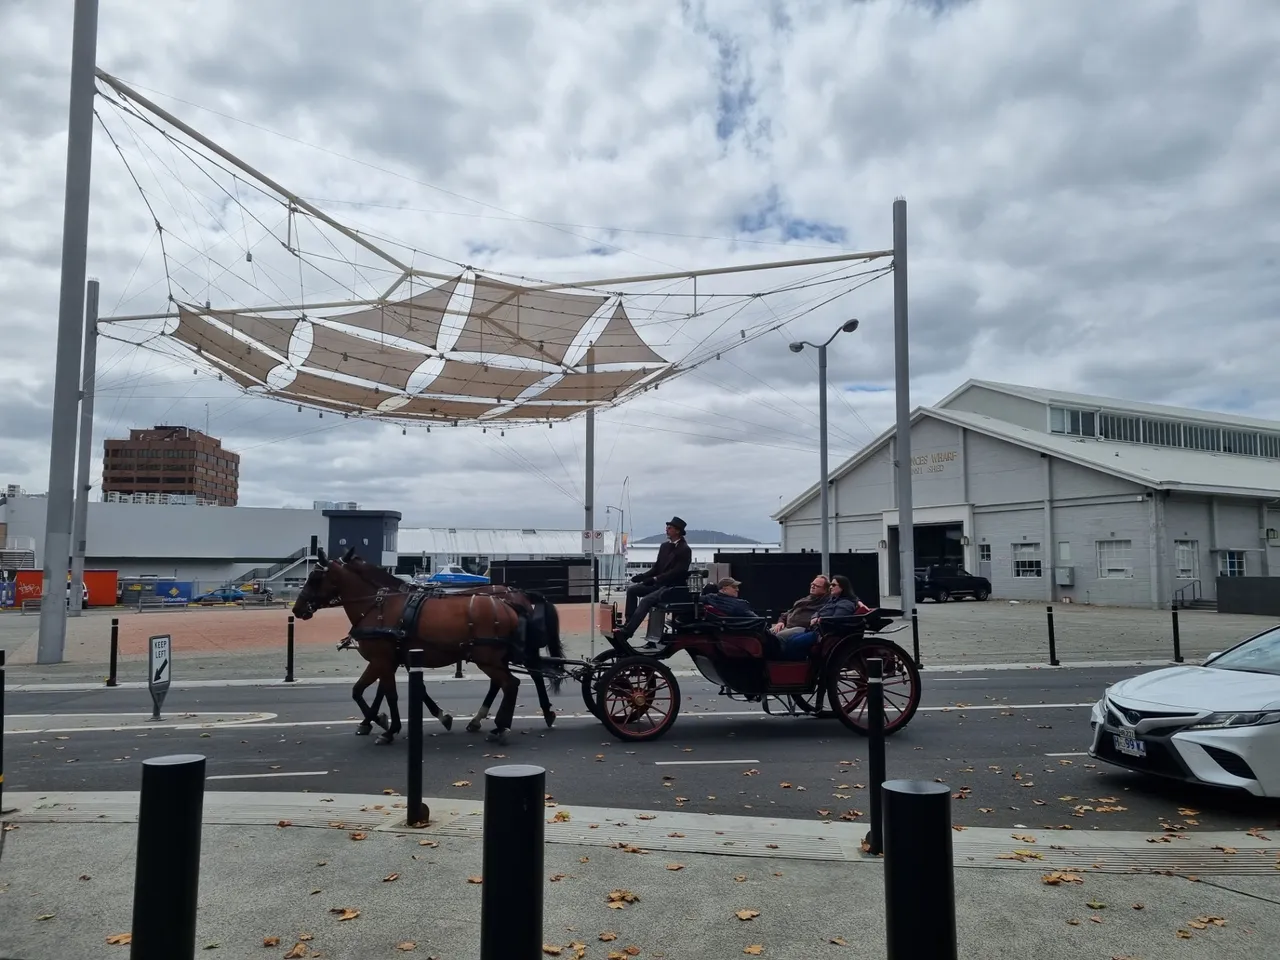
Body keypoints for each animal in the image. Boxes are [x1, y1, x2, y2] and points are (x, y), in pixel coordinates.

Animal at [294, 547, 565, 742]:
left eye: (315, 577)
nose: (297, 608)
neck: (379, 605)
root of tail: (512, 600)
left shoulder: (382, 659)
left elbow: (379, 693)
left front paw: (385, 726)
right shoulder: (393, 660)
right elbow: (378, 691)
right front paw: (379, 720)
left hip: (489, 656)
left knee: (514, 682)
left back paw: (505, 725)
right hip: (494, 657)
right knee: (509, 681)